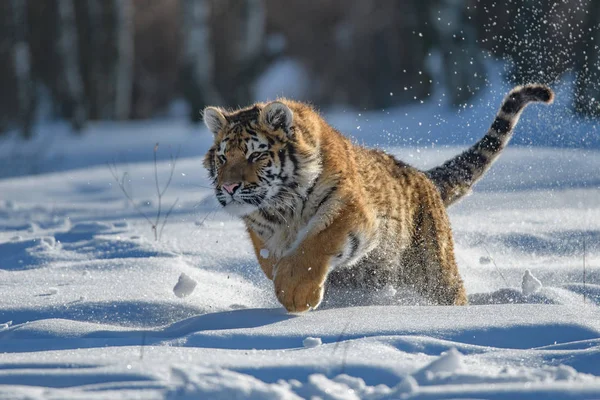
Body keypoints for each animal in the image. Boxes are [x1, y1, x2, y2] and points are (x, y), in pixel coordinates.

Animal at [202, 84, 552, 314]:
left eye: (256, 155)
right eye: (223, 157)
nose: (229, 188)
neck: (280, 207)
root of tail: (423, 176)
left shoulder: (350, 210)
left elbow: (312, 245)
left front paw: (296, 293)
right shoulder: (265, 235)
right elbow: (273, 259)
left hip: (433, 273)